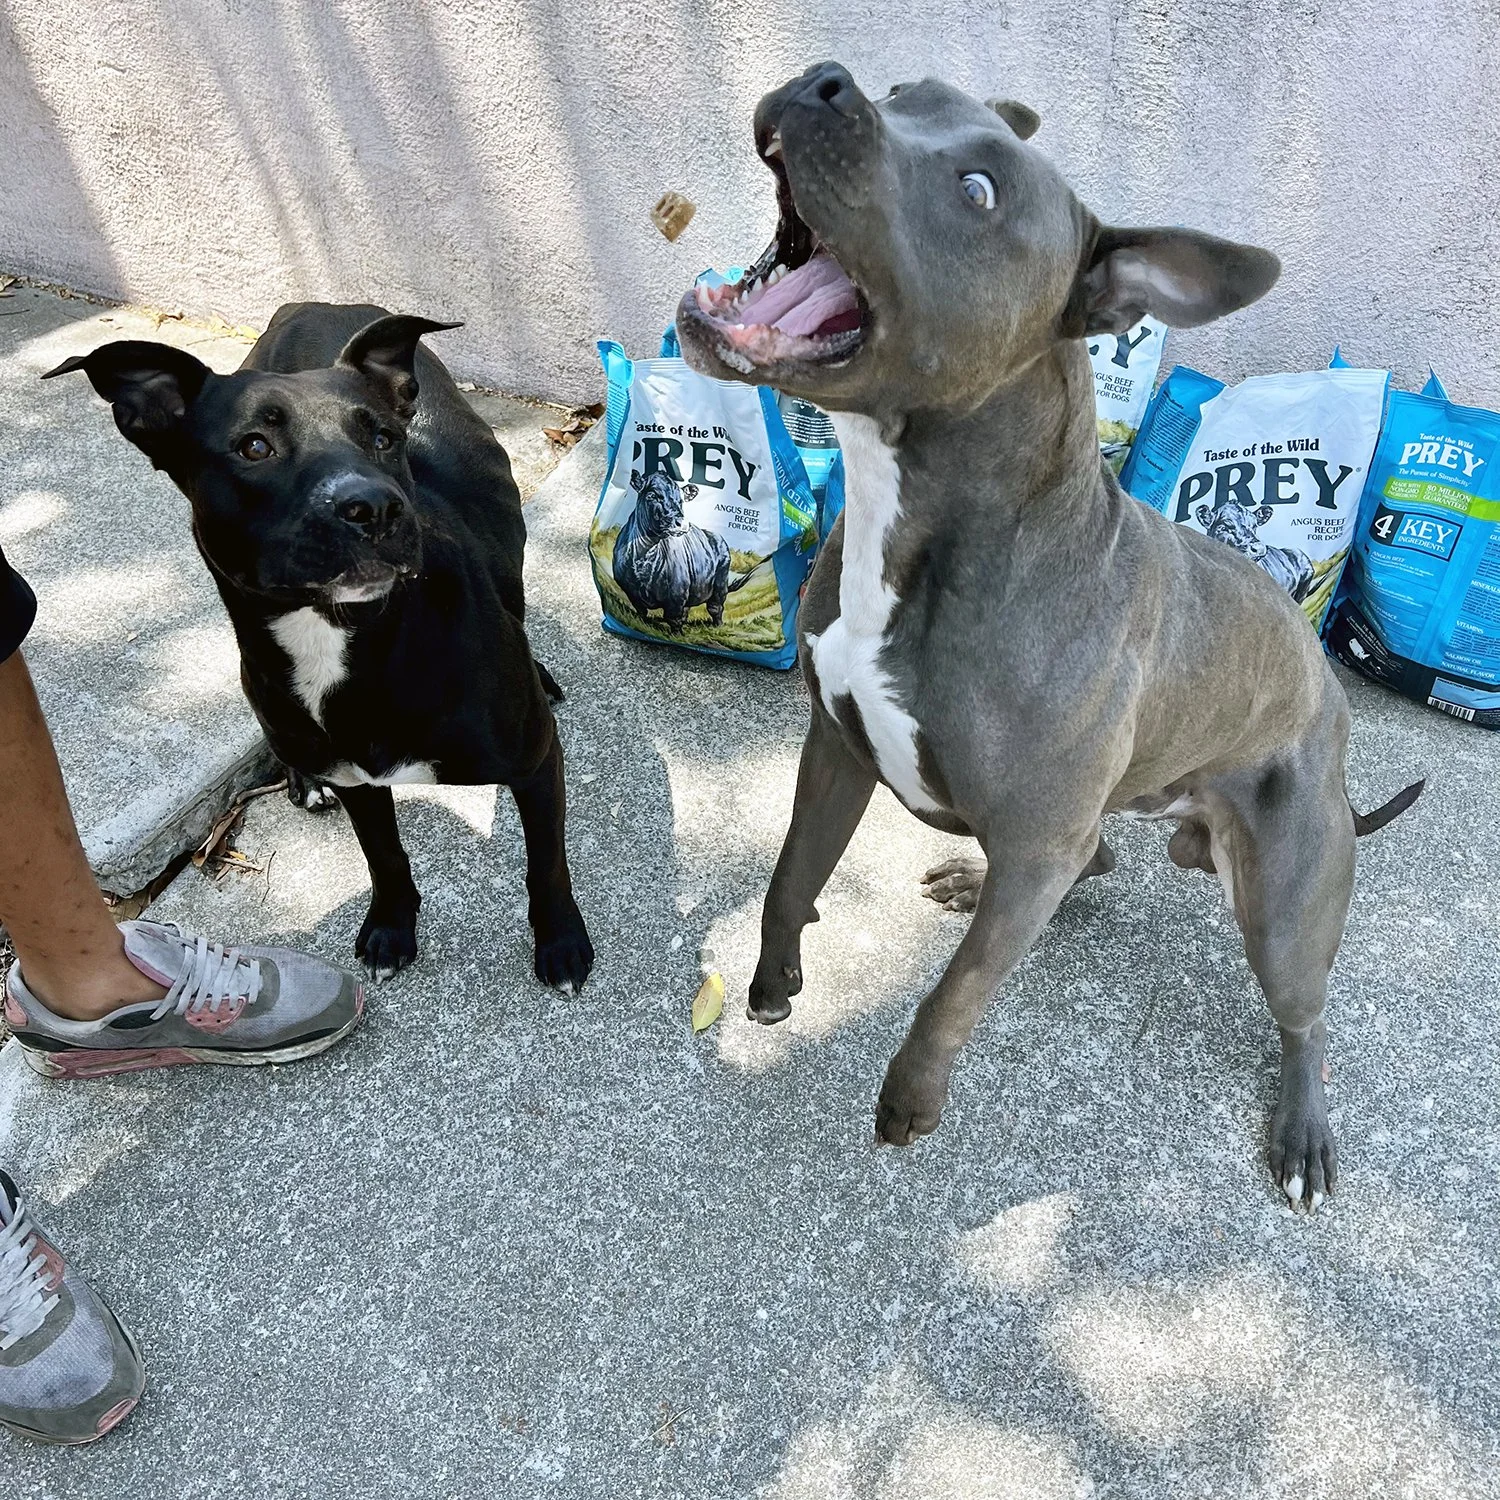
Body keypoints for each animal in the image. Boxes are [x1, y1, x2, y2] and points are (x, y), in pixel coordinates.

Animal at [48, 303, 594, 991]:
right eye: (254, 447)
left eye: (383, 438)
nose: (376, 507)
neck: (344, 635)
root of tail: (314, 307)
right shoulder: (357, 780)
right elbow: (383, 855)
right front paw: (391, 927)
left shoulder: (534, 763)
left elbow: (546, 861)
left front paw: (561, 944)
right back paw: (302, 778)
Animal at [612, 470, 734, 629]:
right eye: (651, 495)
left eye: (681, 501)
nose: (682, 522)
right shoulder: (631, 592)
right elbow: (641, 613)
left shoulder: (676, 596)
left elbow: (674, 620)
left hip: (720, 585)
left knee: (715, 608)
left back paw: (718, 626)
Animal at [675, 64, 1422, 1205]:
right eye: (908, 90)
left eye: (979, 192)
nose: (825, 82)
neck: (927, 526)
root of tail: (1330, 702)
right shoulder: (836, 747)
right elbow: (790, 875)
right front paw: (774, 980)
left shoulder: (1030, 842)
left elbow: (955, 993)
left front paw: (911, 1098)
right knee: (1093, 857)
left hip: (1285, 907)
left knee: (1304, 1016)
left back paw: (1303, 1132)